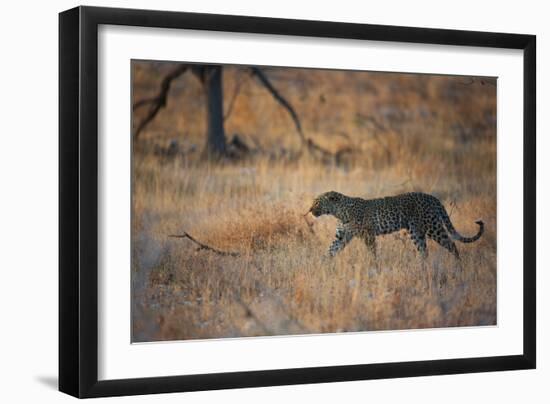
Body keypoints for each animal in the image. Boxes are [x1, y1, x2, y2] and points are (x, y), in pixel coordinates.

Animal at [308, 192, 486, 258]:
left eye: (317, 202)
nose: (309, 210)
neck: (339, 212)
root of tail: (433, 198)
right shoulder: (342, 236)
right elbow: (331, 250)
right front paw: (323, 265)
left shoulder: (368, 235)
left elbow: (372, 253)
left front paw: (374, 266)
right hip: (416, 232)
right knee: (424, 251)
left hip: (433, 227)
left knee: (451, 244)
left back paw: (458, 266)